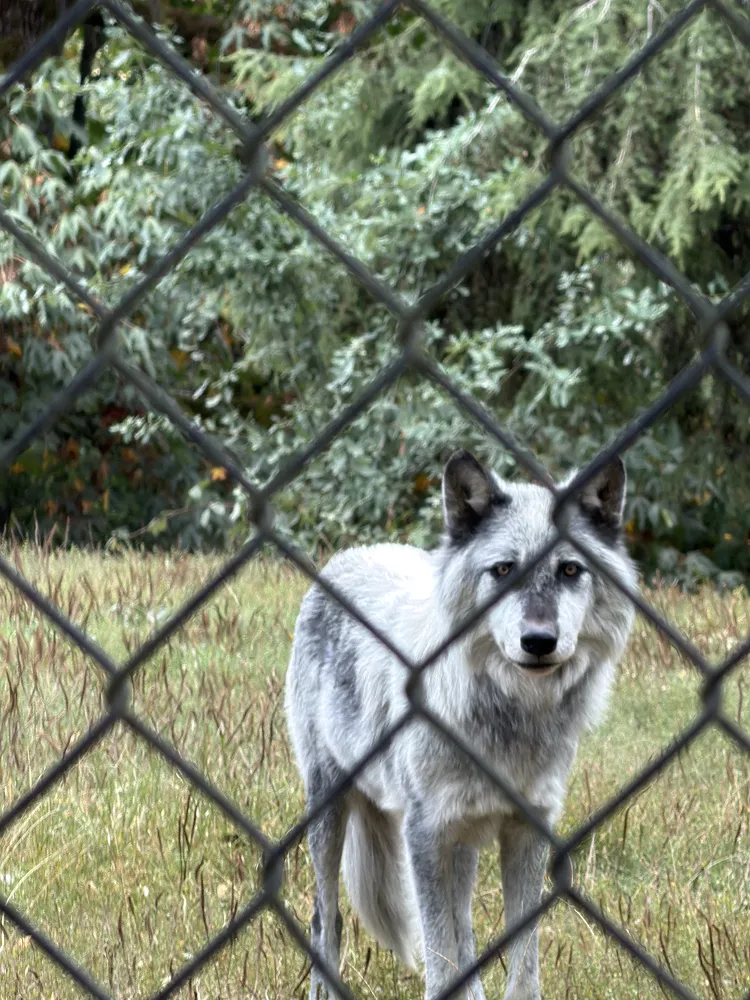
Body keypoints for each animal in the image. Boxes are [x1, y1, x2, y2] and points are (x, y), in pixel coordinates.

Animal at [285, 450, 637, 1000]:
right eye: (503, 569)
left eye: (569, 570)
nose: (539, 641)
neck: (509, 717)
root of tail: (350, 555)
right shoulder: (424, 836)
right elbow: (439, 956)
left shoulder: (526, 833)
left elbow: (520, 965)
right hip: (330, 810)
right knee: (328, 920)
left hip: (463, 845)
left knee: (466, 930)